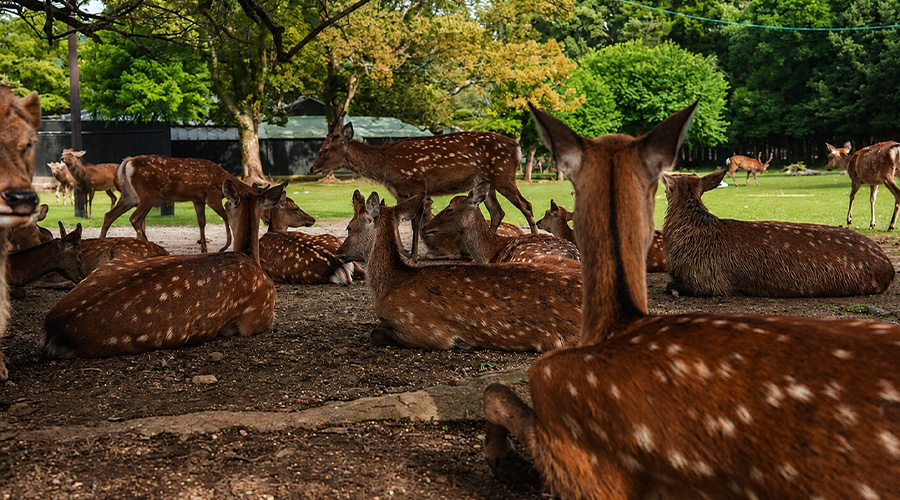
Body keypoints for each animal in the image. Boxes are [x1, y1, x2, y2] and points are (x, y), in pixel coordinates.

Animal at [99, 155, 253, 252]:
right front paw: (224, 247)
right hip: (147, 194)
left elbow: (201, 222)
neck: (222, 178)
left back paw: (100, 243)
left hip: (130, 196)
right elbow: (226, 217)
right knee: (135, 218)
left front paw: (203, 247)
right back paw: (149, 245)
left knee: (109, 215)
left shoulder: (197, 199)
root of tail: (127, 163)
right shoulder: (212, 196)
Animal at [310, 115, 538, 262]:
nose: (313, 168)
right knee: (497, 211)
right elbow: (399, 220)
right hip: (485, 181)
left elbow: (414, 222)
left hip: (503, 174)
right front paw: (406, 253)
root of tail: (518, 148)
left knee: (526, 205)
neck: (386, 166)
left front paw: (413, 258)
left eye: (325, 149)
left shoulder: (416, 184)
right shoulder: (400, 192)